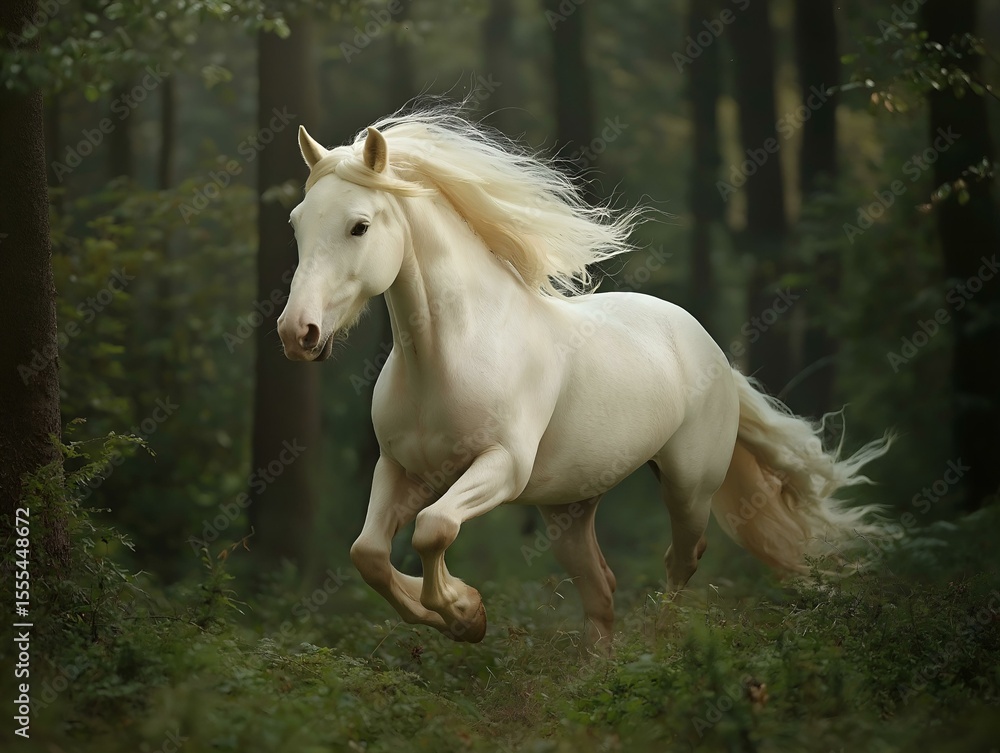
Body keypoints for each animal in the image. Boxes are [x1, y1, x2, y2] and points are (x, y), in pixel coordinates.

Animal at [276, 108, 890, 649]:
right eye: (297, 223)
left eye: (359, 226)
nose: (296, 332)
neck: (449, 355)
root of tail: (710, 350)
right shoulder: (402, 469)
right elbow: (369, 555)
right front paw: (460, 615)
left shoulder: (502, 467)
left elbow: (433, 529)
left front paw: (465, 611)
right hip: (567, 510)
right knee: (602, 589)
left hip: (689, 487)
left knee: (681, 559)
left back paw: (660, 649)